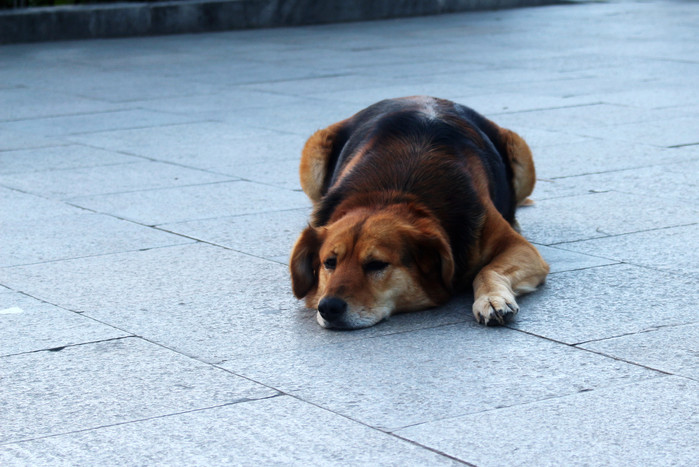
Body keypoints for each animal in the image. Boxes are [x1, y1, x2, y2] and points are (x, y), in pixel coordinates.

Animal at [288, 96, 548, 330]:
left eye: (377, 264)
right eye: (329, 263)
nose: (328, 307)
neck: (394, 192)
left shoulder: (519, 247)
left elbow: (488, 270)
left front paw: (492, 299)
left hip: (521, 156)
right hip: (315, 153)